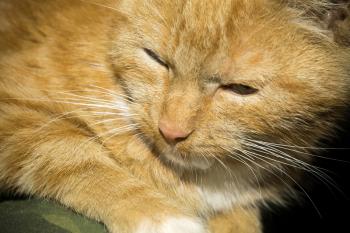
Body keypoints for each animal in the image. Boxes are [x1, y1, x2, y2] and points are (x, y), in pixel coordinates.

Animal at [0, 0, 348, 233]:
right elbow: (76, 157)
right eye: (156, 58)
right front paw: (158, 216)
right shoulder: (16, 113)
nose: (170, 131)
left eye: (240, 88)